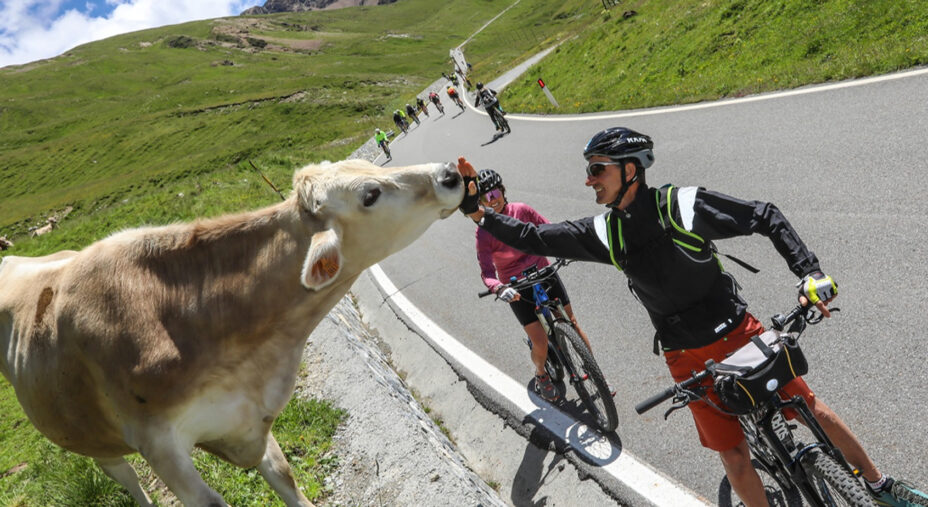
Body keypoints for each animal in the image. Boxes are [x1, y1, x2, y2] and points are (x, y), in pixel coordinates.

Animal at [0, 159, 464, 506]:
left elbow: (285, 477)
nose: (449, 174)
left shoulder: (246, 415)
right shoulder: (161, 446)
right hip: (92, 436)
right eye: (370, 194)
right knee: (124, 475)